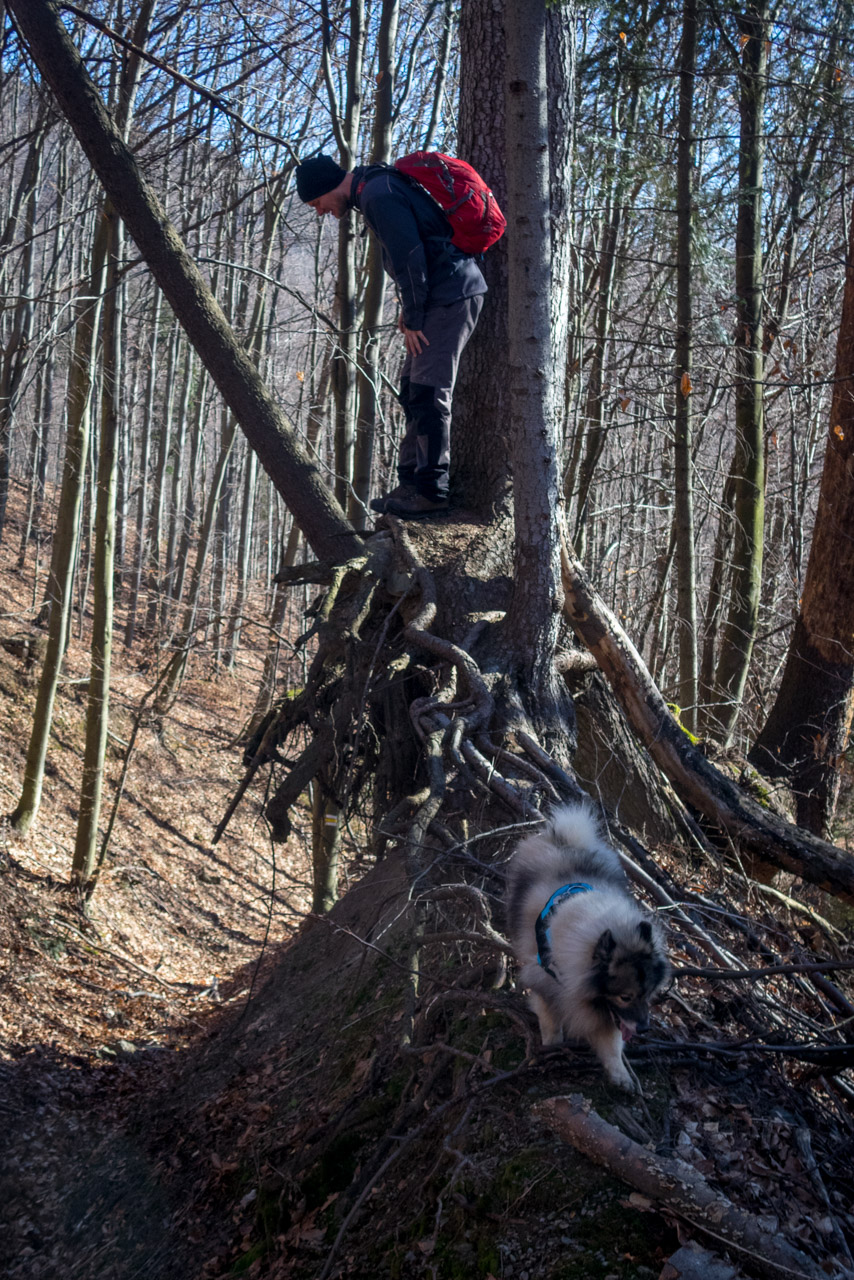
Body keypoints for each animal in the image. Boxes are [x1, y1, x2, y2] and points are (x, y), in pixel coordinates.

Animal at [504, 803, 670, 1085]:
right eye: (625, 997)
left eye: (648, 994)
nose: (644, 1028)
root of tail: (566, 840)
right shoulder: (547, 984)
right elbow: (551, 1022)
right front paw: (553, 1047)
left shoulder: (608, 1014)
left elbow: (612, 1042)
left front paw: (620, 1075)